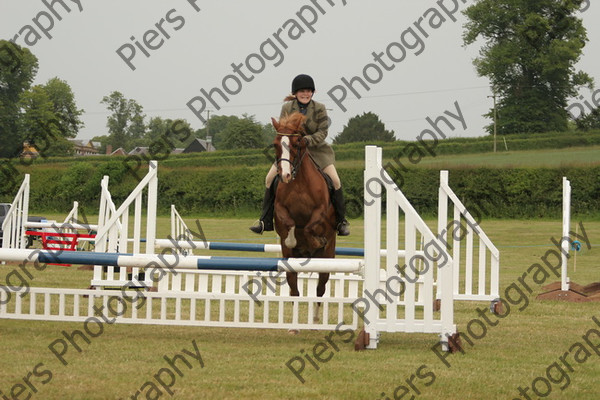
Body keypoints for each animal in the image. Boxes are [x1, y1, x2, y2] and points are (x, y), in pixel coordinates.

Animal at [272, 111, 338, 326]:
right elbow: (290, 225)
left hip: (327, 259)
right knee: (294, 288)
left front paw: (316, 241)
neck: (298, 181)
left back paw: (316, 318)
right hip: (289, 262)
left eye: (296, 144)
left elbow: (310, 227)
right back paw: (294, 326)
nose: (284, 175)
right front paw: (293, 240)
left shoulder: (320, 209)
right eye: (275, 144)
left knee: (320, 288)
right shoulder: (280, 208)